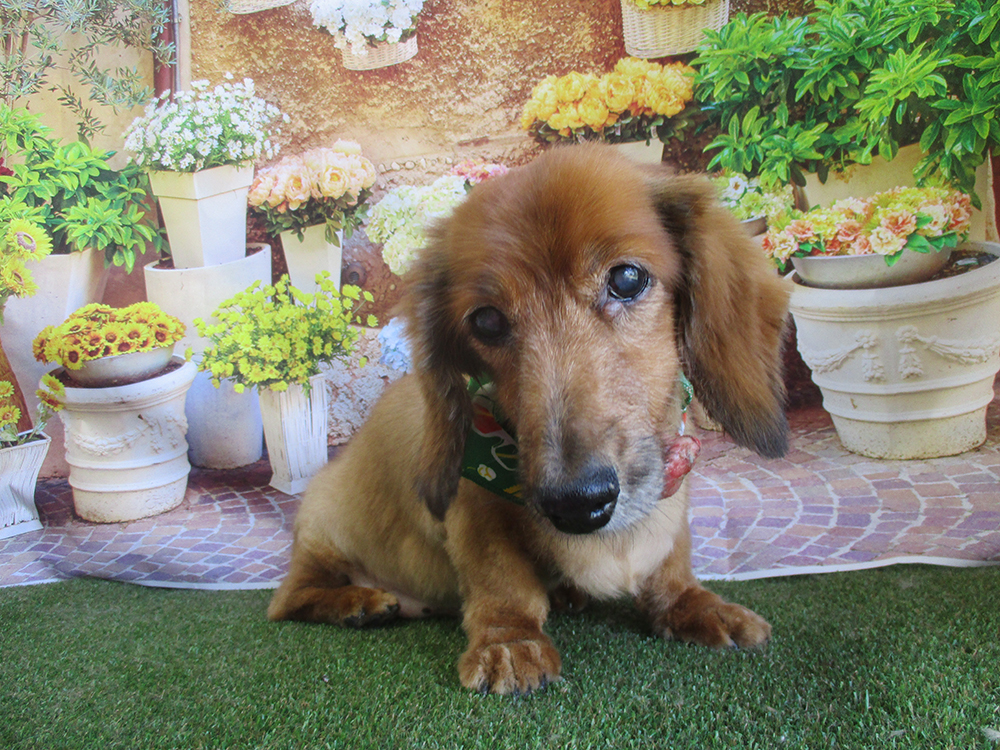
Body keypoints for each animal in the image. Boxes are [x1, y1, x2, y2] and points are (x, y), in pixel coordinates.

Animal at [268, 143, 790, 695]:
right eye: (486, 321)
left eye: (627, 279)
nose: (578, 505)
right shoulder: (475, 508)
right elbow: (503, 580)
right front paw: (510, 642)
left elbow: (671, 563)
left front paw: (695, 605)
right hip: (325, 528)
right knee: (291, 597)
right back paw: (359, 602)